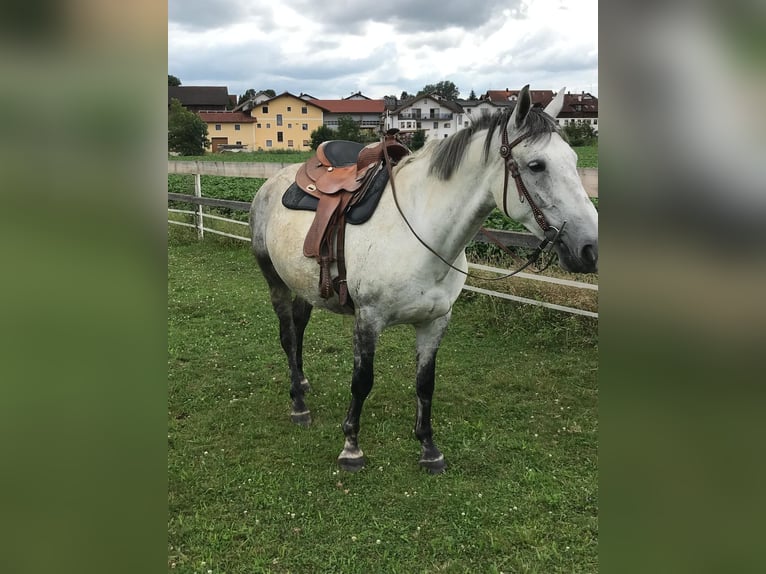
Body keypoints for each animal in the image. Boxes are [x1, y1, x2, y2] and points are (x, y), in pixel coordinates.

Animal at [252, 84, 600, 472]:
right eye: (537, 165)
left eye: (574, 161)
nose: (589, 248)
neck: (421, 231)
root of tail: (272, 183)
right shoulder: (368, 319)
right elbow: (362, 381)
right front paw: (351, 447)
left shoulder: (435, 321)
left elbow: (425, 383)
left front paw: (429, 449)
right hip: (275, 281)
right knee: (287, 335)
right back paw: (298, 404)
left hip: (303, 285)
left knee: (298, 330)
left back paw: (302, 382)